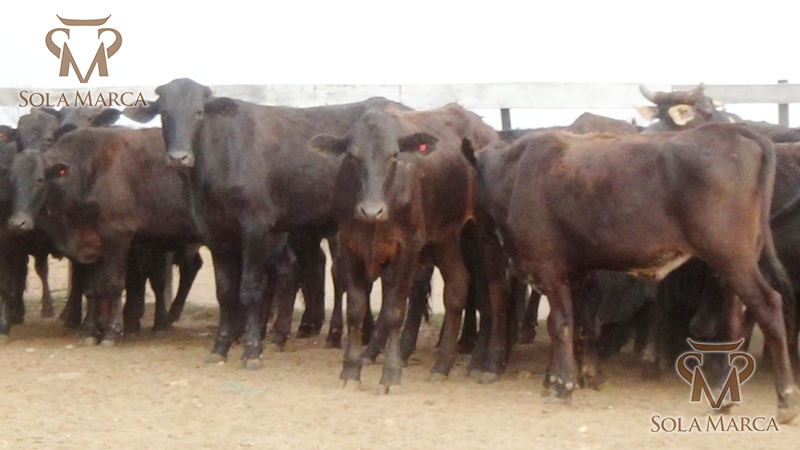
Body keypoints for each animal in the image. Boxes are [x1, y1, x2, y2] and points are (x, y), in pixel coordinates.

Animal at [122, 78, 409, 367]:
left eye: (198, 112)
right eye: (164, 113)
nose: (178, 157)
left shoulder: (255, 227)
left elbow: (250, 289)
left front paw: (252, 350)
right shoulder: (216, 232)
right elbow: (225, 291)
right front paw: (220, 346)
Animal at [308, 103, 498, 390]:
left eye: (394, 156)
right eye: (352, 156)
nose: (371, 210)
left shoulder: (408, 248)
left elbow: (394, 312)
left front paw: (391, 374)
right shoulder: (348, 245)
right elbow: (355, 308)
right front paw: (351, 371)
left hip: (478, 236)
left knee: (487, 294)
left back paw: (479, 364)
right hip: (446, 239)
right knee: (457, 288)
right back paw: (441, 366)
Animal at [462, 124, 798, 423]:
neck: (515, 172)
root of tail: (735, 132)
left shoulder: (550, 269)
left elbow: (561, 325)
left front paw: (563, 386)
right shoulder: (576, 274)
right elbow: (576, 325)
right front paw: (567, 378)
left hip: (734, 259)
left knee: (768, 307)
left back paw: (784, 399)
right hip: (732, 267)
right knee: (734, 322)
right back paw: (724, 400)